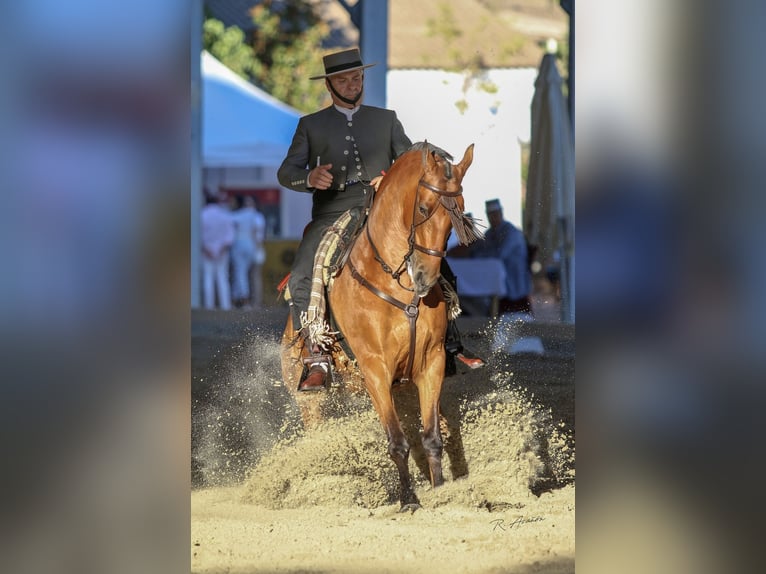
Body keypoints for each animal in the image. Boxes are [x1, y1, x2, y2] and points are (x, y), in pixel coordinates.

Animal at [282, 144, 480, 512]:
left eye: (459, 212)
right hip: (310, 400)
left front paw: (440, 491)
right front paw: (408, 499)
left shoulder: (430, 365)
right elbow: (397, 441)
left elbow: (431, 437)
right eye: (423, 208)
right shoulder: (376, 369)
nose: (426, 278)